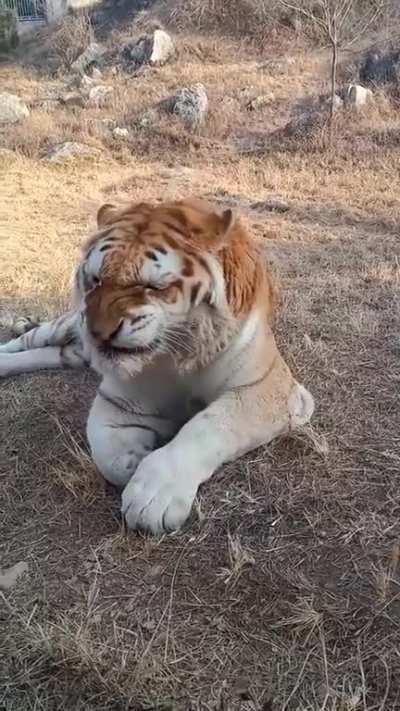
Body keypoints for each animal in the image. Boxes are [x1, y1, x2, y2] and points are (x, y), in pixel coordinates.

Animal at [0, 198, 314, 535]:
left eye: (150, 286)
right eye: (96, 280)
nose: (98, 333)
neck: (181, 354)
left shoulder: (268, 390)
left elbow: (208, 425)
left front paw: (153, 495)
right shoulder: (121, 399)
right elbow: (107, 454)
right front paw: (134, 461)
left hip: (73, 351)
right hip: (66, 324)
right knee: (28, 341)